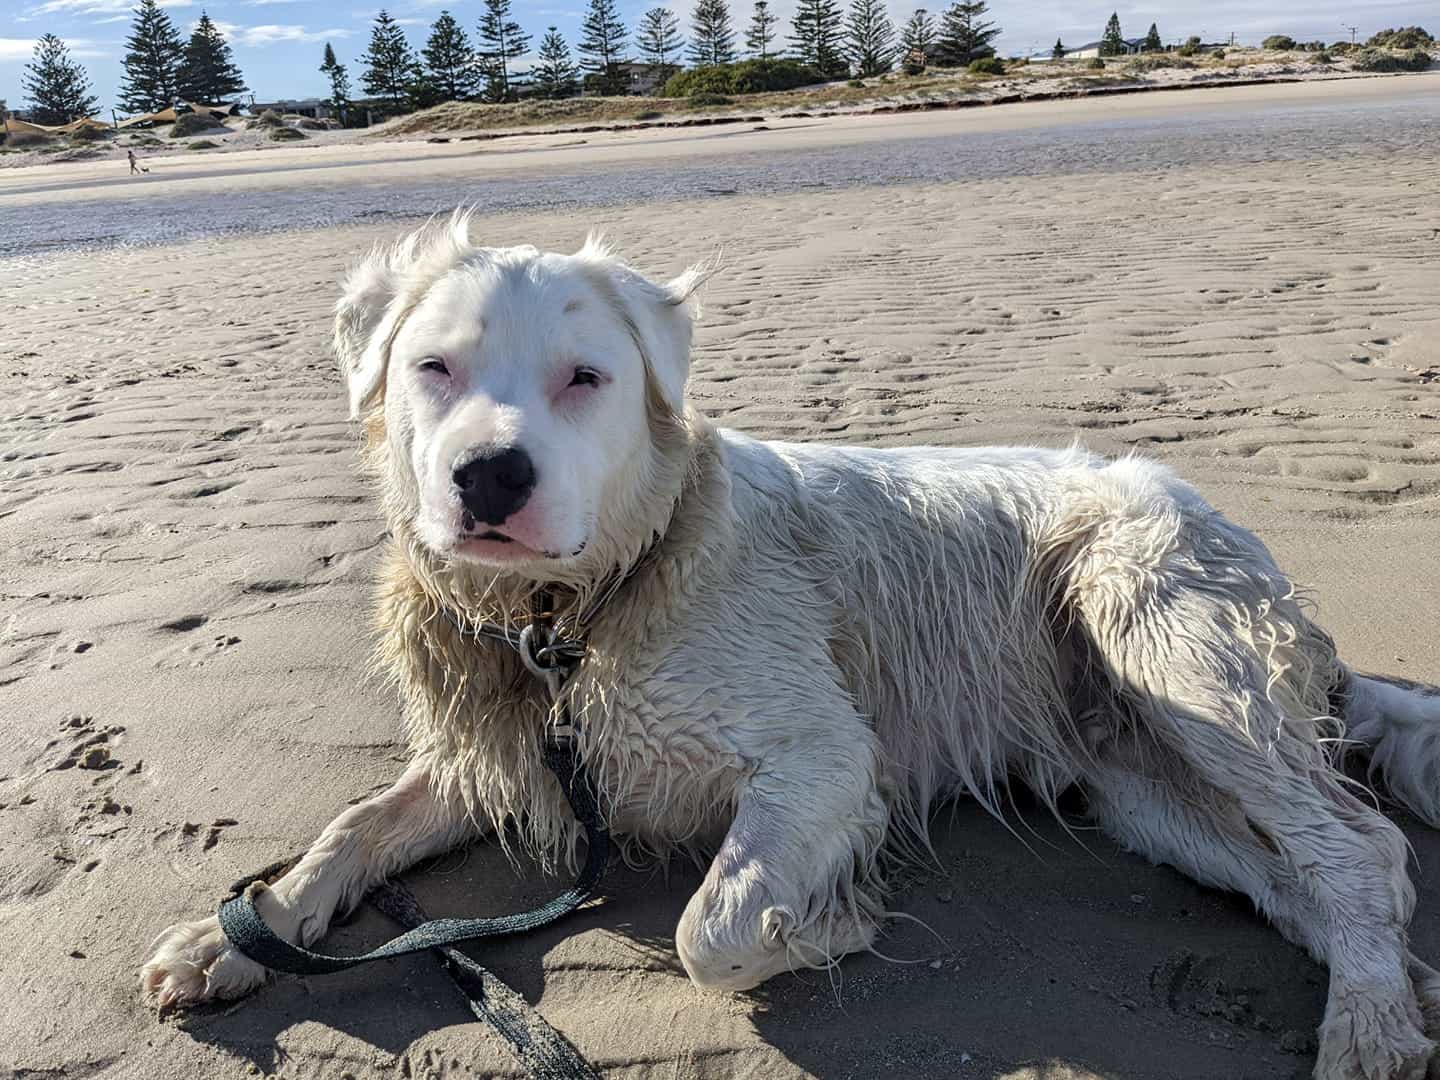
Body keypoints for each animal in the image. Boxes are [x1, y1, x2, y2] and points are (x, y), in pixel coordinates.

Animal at [140, 216, 1440, 1077]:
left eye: (585, 378)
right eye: (432, 368)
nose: (488, 478)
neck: (578, 614)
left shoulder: (822, 755)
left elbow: (709, 932)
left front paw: (824, 923)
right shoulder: (509, 748)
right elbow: (353, 829)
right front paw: (230, 937)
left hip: (1168, 644)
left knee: (1359, 849)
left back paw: (1369, 1030)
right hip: (1135, 785)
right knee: (1311, 872)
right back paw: (1389, 988)